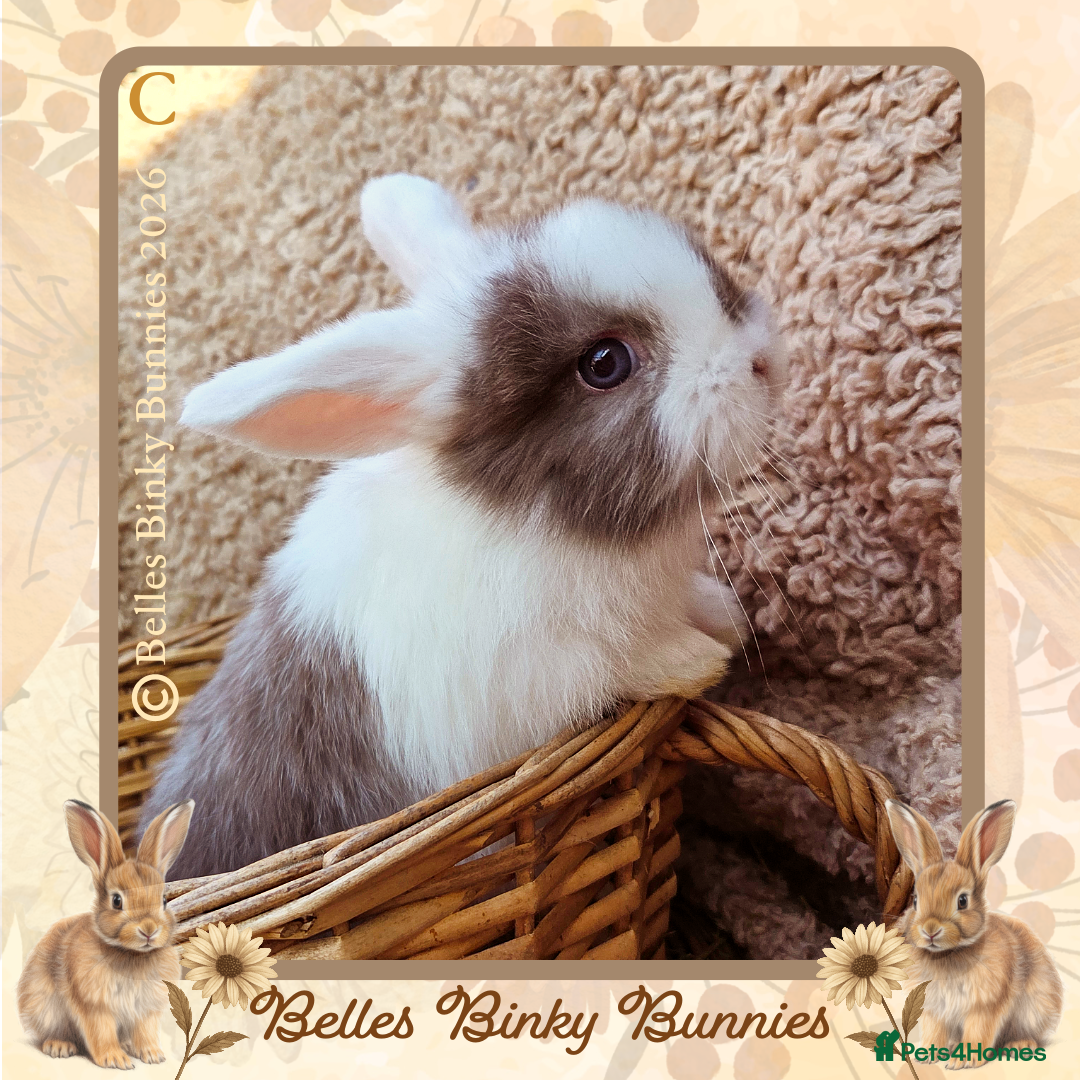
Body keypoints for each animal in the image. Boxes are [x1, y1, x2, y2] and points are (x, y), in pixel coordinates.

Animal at [17, 799, 195, 1068]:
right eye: (117, 901)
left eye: (164, 900)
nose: (149, 930)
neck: (131, 954)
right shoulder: (95, 1005)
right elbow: (101, 1032)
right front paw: (116, 1060)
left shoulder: (145, 1009)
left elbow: (145, 1031)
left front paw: (153, 1055)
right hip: (45, 1008)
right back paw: (59, 1046)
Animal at [139, 174, 787, 880]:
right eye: (605, 362)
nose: (762, 361)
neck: (538, 517)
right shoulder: (533, 672)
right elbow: (620, 663)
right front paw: (701, 658)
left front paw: (726, 614)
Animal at [885, 798, 1063, 1067]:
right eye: (915, 900)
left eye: (962, 901)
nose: (930, 930)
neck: (949, 954)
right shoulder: (935, 1010)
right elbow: (934, 1031)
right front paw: (926, 1056)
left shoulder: (984, 1005)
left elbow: (978, 1031)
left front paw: (963, 1061)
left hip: (1033, 1010)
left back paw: (1019, 1045)